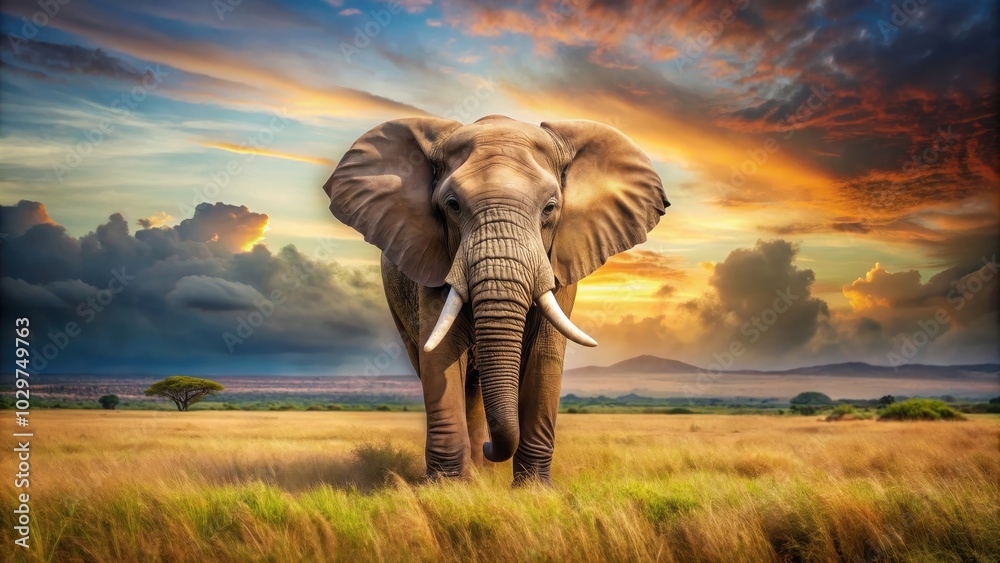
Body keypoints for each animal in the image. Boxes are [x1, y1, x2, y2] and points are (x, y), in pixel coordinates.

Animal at [322, 115, 668, 485]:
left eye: (550, 208)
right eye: (452, 205)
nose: (492, 448)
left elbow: (545, 353)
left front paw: (533, 490)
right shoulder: (432, 256)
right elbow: (441, 355)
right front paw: (446, 488)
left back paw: (482, 471)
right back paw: (474, 473)